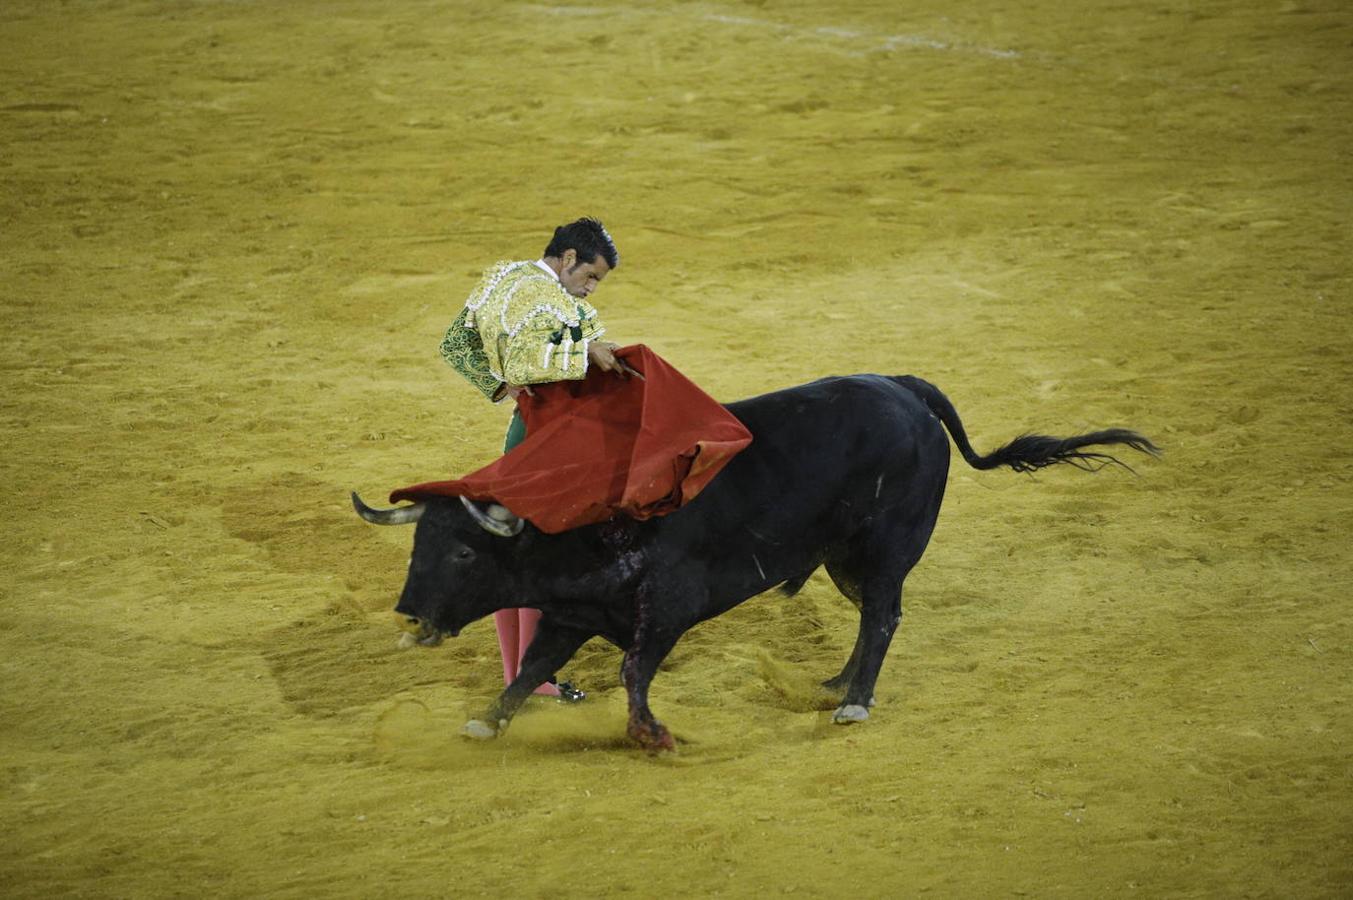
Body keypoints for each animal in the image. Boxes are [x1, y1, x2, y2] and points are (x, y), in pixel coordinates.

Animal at [349, 370, 1152, 752]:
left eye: (461, 548)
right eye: (418, 544)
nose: (408, 613)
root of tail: (904, 389)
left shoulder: (665, 609)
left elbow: (632, 671)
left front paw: (652, 736)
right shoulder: (570, 613)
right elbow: (531, 669)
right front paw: (486, 724)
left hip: (886, 547)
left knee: (885, 614)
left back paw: (855, 703)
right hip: (841, 556)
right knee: (870, 616)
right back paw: (835, 683)